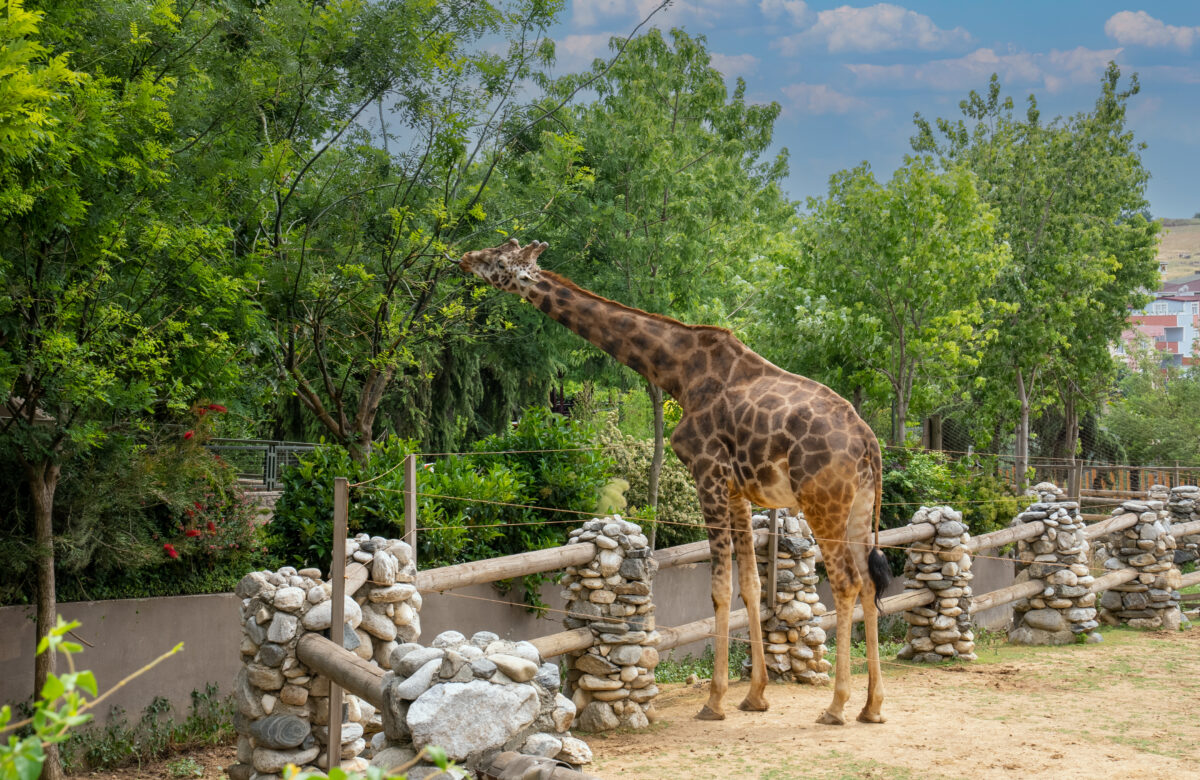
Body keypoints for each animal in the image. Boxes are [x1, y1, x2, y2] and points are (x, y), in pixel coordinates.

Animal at [458, 236, 892, 724]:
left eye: (499, 259)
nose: (466, 259)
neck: (678, 373)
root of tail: (869, 442)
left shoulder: (707, 472)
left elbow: (719, 589)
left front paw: (715, 701)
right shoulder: (738, 489)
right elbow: (751, 586)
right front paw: (755, 695)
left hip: (823, 501)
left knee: (846, 583)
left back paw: (836, 707)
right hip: (859, 505)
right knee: (869, 582)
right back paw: (872, 707)